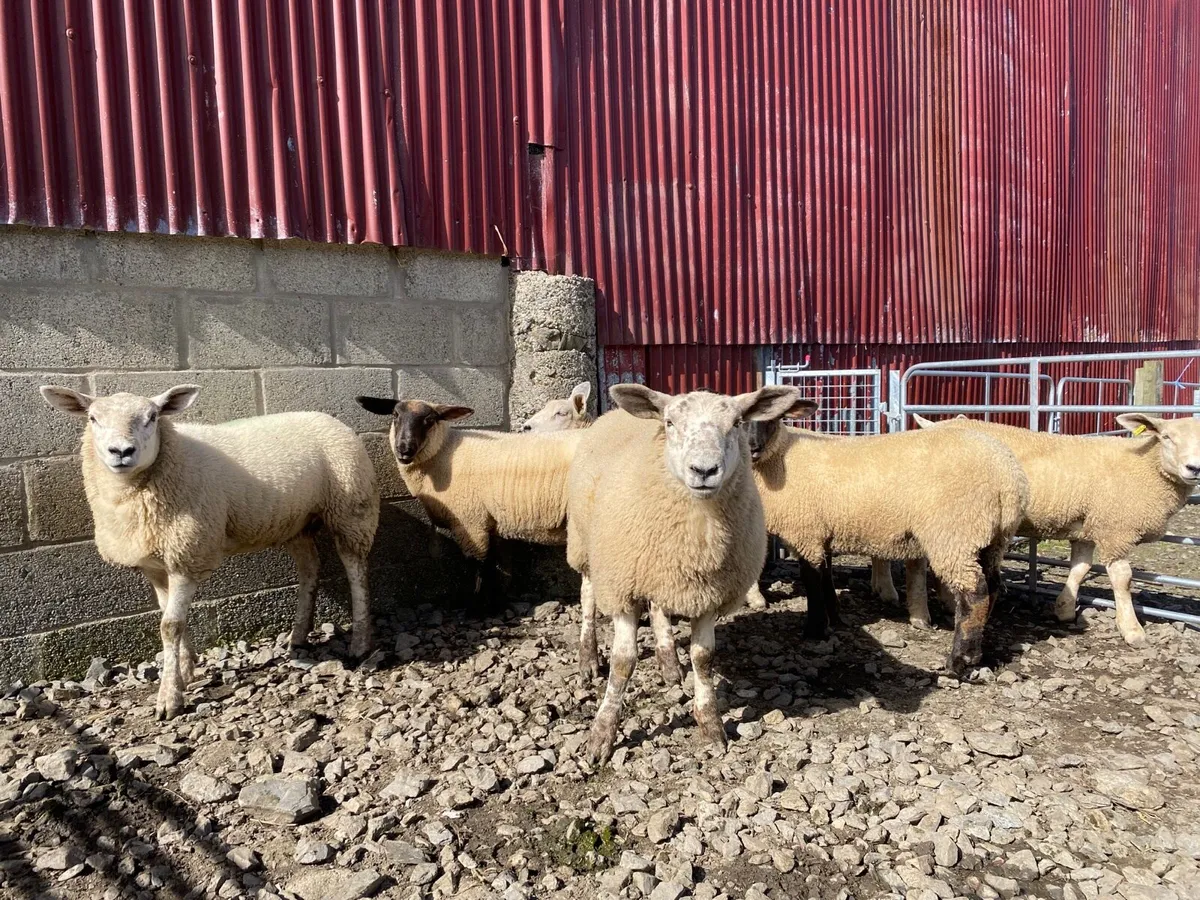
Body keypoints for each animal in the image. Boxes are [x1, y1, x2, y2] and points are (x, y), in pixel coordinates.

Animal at [40, 384, 380, 721]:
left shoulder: (188, 553)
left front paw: (169, 697)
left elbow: (170, 626)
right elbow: (168, 616)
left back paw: (360, 643)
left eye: (153, 417)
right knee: (310, 570)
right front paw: (184, 669)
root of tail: (326, 417)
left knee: (357, 572)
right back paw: (298, 636)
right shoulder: (158, 563)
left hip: (351, 509)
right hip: (296, 523)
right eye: (93, 418)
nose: (121, 451)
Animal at [566, 383, 801, 765]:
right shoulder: (623, 584)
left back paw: (669, 664)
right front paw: (601, 735)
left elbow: (703, 660)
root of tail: (612, 413)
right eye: (670, 422)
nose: (704, 470)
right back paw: (588, 658)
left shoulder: (707, 592)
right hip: (586, 544)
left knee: (659, 608)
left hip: (661, 573)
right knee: (588, 596)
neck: (697, 533)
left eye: (737, 423)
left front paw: (711, 727)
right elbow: (623, 662)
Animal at [746, 401, 1029, 676]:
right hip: (993, 537)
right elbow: (826, 577)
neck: (781, 456)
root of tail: (1008, 477)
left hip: (955, 532)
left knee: (975, 591)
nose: (752, 448)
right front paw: (834, 618)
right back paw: (979, 653)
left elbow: (812, 581)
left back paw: (960, 661)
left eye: (775, 416)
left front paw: (815, 630)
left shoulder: (805, 532)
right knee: (992, 586)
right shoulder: (821, 532)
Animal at [912, 413, 1200, 645]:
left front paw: (1064, 609)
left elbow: (1080, 568)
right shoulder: (1115, 530)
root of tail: (933, 426)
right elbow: (1123, 578)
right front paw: (1132, 630)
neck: (1147, 466)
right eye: (1166, 437)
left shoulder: (1087, 527)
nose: (1194, 468)